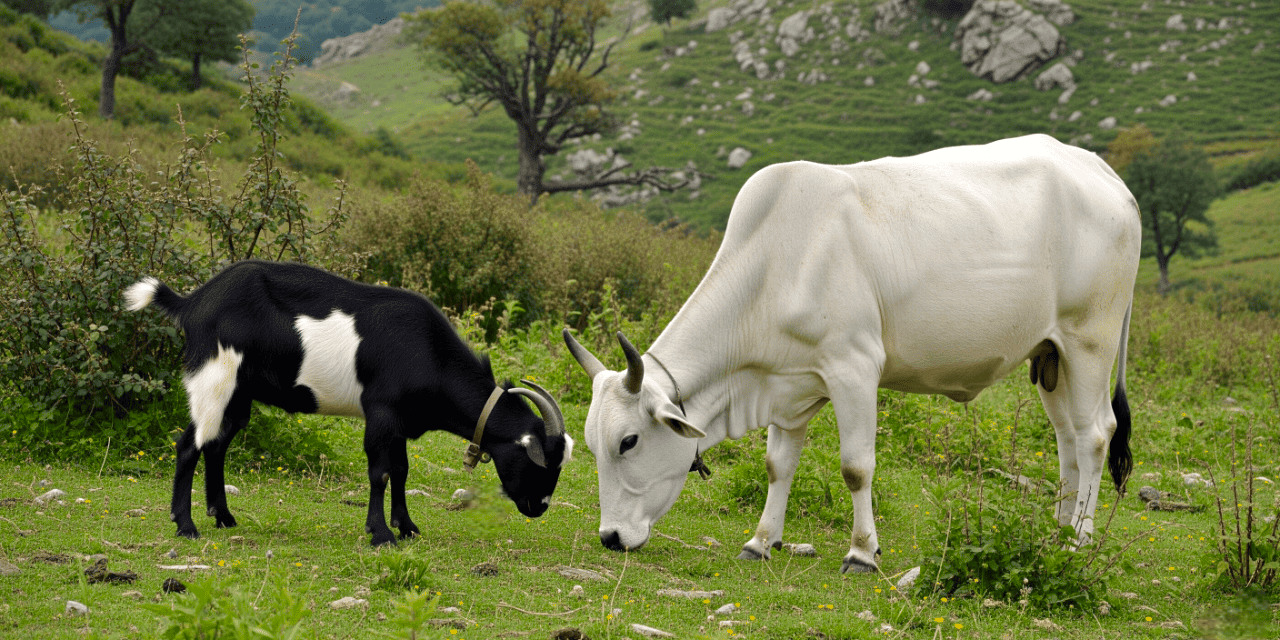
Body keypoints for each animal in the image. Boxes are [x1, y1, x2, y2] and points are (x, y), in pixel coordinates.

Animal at [124, 260, 573, 546]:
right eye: (538, 463)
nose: (539, 508)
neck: (428, 352)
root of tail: (193, 302)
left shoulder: (400, 421)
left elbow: (402, 471)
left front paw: (407, 527)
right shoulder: (381, 411)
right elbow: (380, 472)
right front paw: (381, 534)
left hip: (240, 393)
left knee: (216, 444)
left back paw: (224, 517)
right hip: (215, 376)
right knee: (189, 445)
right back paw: (186, 526)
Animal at [563, 134, 1140, 573]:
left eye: (629, 441)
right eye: (590, 443)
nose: (610, 537)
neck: (778, 263)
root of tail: (1103, 173)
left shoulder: (855, 369)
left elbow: (857, 468)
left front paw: (862, 552)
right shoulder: (787, 383)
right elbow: (777, 464)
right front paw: (761, 541)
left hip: (1089, 342)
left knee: (1094, 436)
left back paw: (1079, 539)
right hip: (1050, 357)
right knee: (1067, 439)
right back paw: (1056, 532)